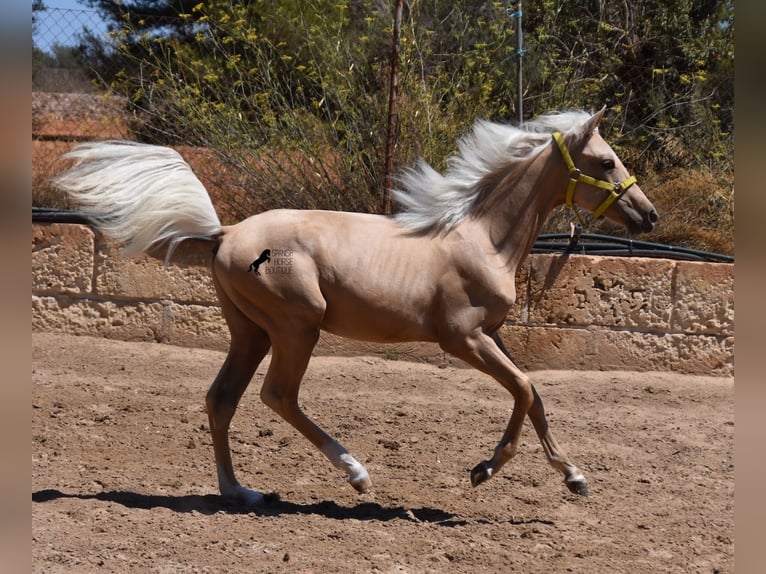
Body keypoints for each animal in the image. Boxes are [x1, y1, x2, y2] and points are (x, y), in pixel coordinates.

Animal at [57, 107, 660, 504]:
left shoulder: (494, 334)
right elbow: (525, 389)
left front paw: (574, 476)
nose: (649, 215)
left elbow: (533, 394)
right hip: (296, 327)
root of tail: (224, 233)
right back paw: (356, 473)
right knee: (277, 395)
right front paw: (485, 469)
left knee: (221, 398)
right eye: (606, 162)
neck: (482, 237)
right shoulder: (462, 338)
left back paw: (240, 491)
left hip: (250, 332)